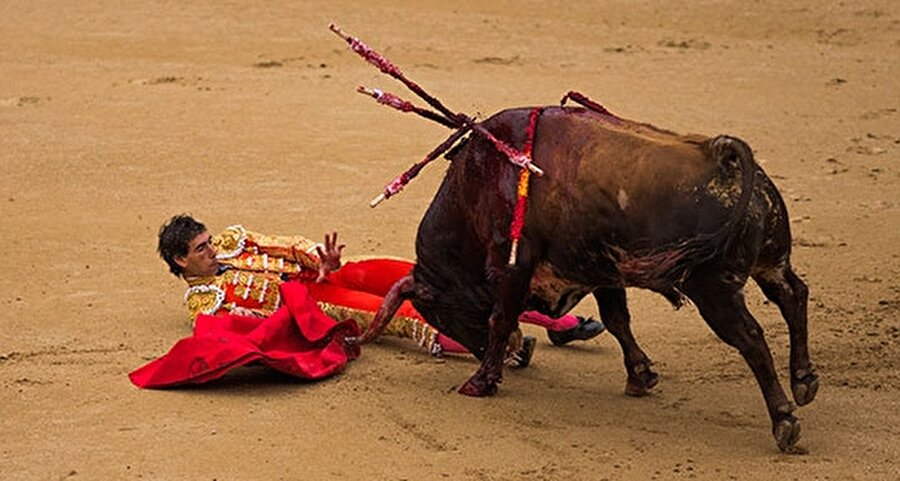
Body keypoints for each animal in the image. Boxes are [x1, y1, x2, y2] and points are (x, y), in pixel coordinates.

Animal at [362, 105, 820, 450]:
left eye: (442, 315)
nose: (518, 355)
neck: (477, 182)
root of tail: (724, 159)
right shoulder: (602, 269)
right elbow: (617, 320)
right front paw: (641, 376)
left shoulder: (512, 263)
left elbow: (500, 318)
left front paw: (480, 381)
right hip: (772, 261)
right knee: (794, 295)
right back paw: (804, 381)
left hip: (713, 289)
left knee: (751, 337)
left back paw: (784, 420)